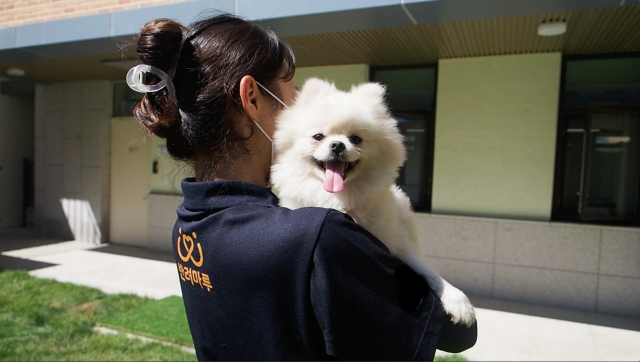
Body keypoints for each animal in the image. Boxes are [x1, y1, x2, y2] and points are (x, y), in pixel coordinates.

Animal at [270, 77, 476, 326]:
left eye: (355, 139)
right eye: (318, 137)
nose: (337, 145)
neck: (340, 199)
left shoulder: (398, 243)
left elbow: (426, 269)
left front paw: (458, 300)